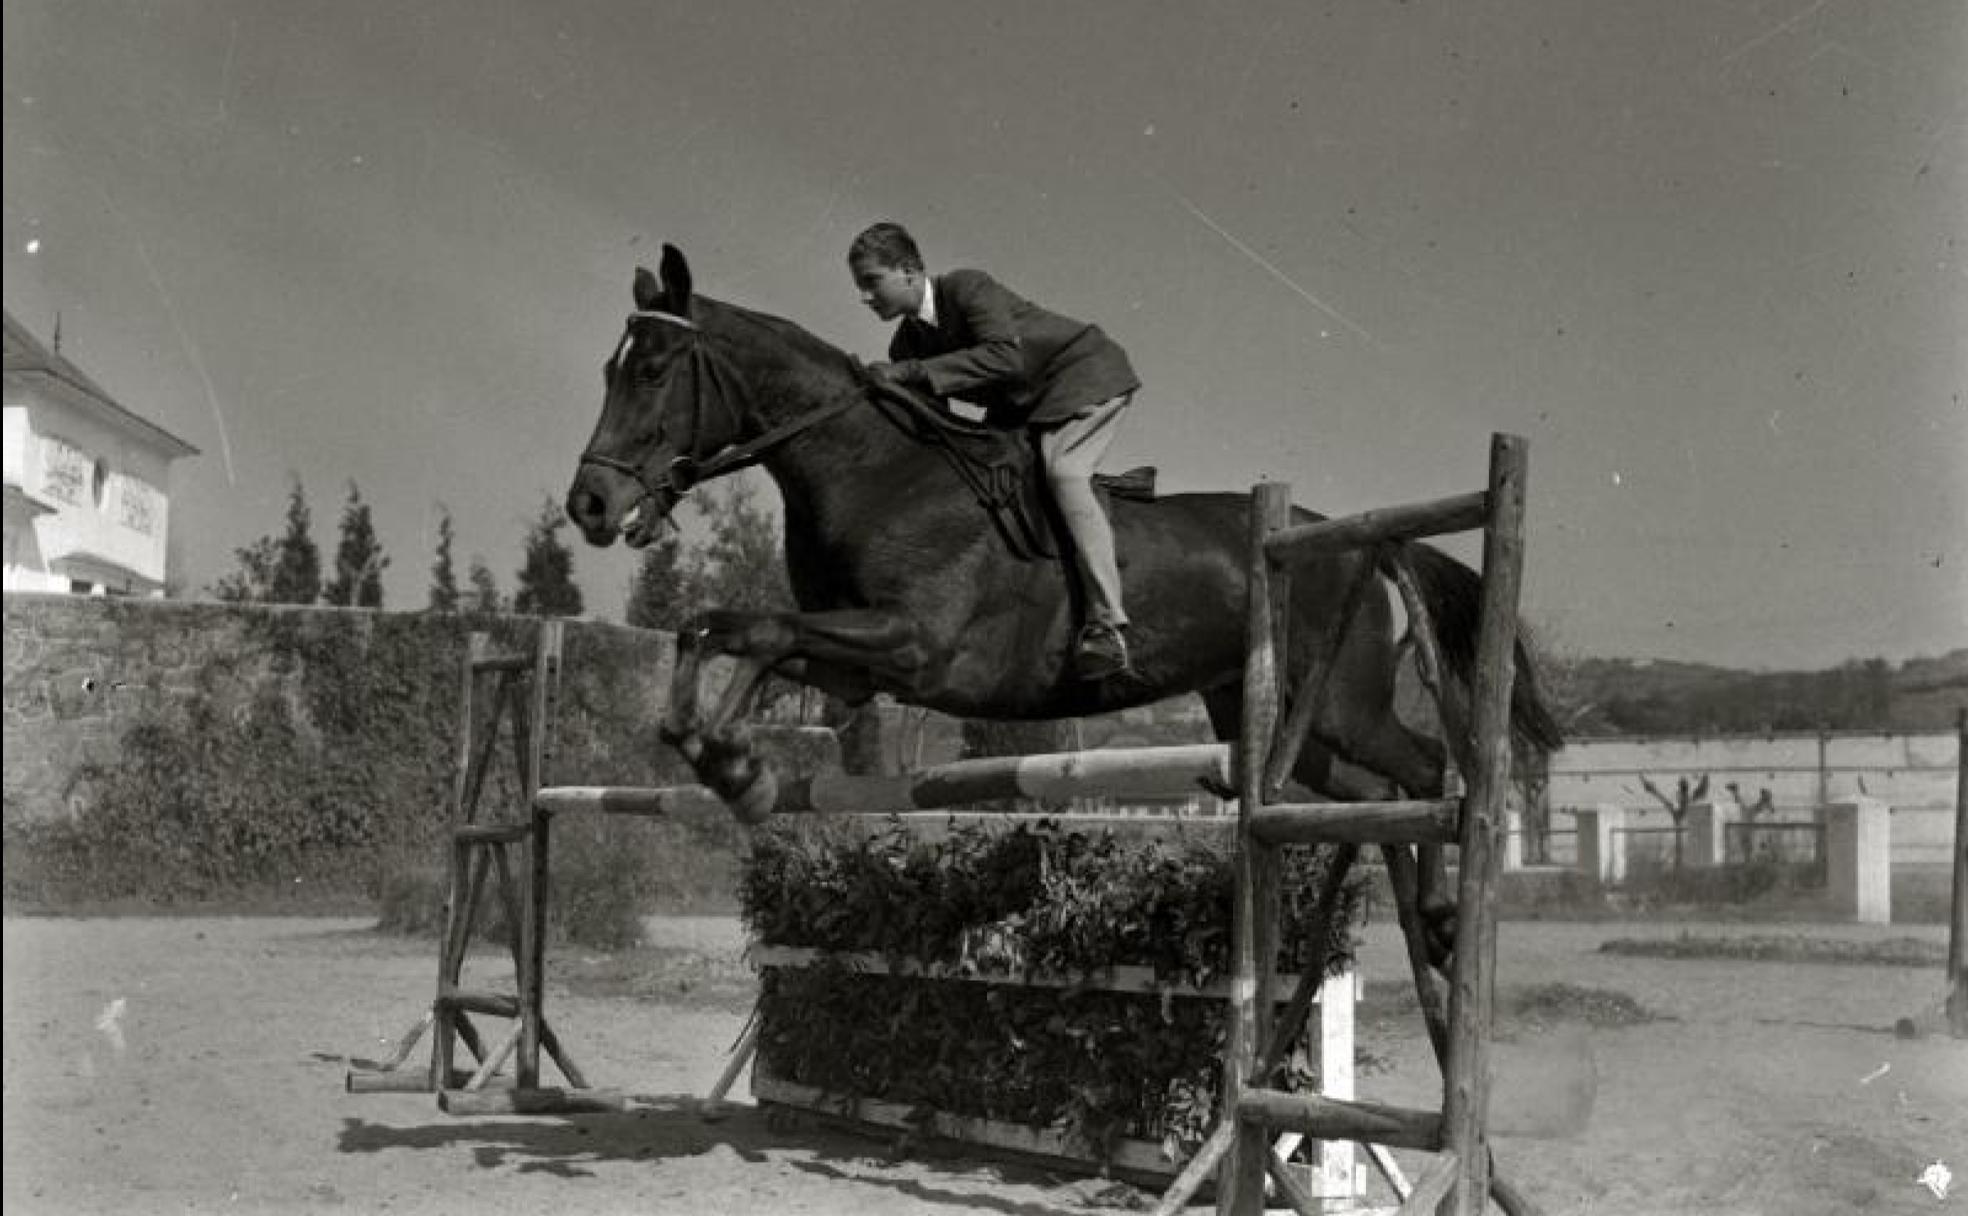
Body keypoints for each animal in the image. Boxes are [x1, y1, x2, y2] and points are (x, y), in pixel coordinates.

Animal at [562, 243, 1558, 834]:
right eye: (609, 369)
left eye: (654, 370)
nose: (590, 506)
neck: (871, 470)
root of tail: (1353, 542)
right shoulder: (856, 661)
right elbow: (719, 629)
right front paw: (728, 761)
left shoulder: (916, 646)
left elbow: (758, 630)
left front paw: (735, 763)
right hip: (1271, 721)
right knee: (1356, 793)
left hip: (1346, 703)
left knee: (1425, 766)